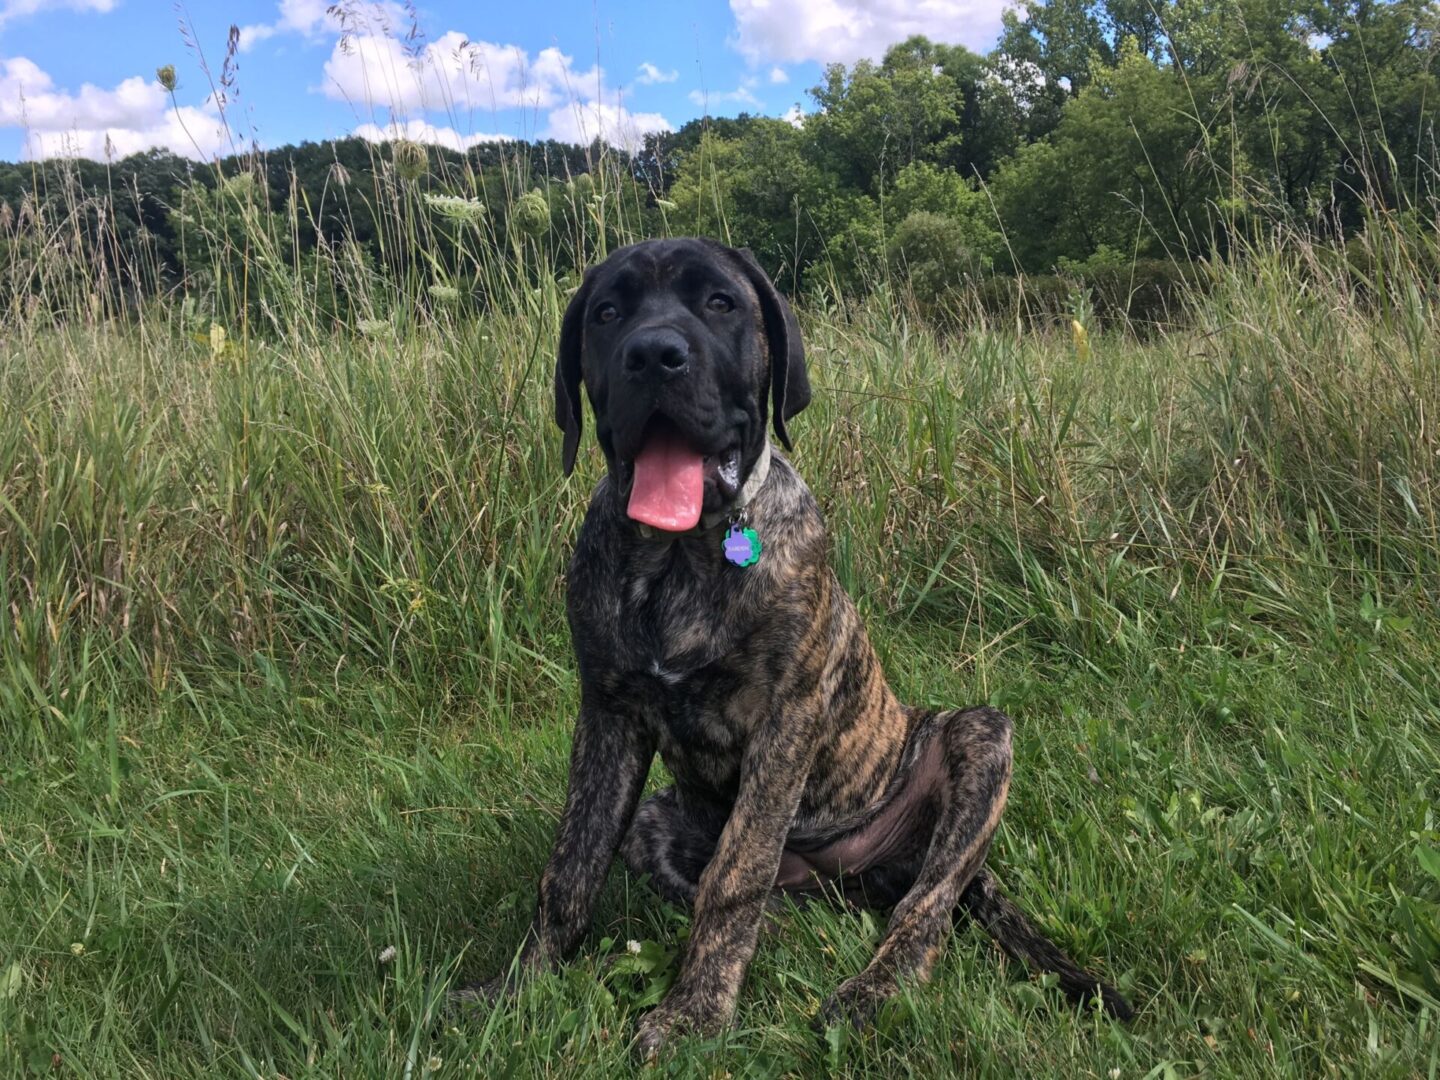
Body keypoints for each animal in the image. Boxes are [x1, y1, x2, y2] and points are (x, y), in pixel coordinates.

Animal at [460, 236, 1134, 1059]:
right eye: (608, 313)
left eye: (720, 303)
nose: (653, 355)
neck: (680, 556)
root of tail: (860, 877)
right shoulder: (608, 714)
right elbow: (571, 868)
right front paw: (519, 989)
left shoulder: (786, 721)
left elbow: (736, 874)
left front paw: (695, 1014)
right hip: (658, 822)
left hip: (978, 740)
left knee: (926, 908)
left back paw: (869, 990)